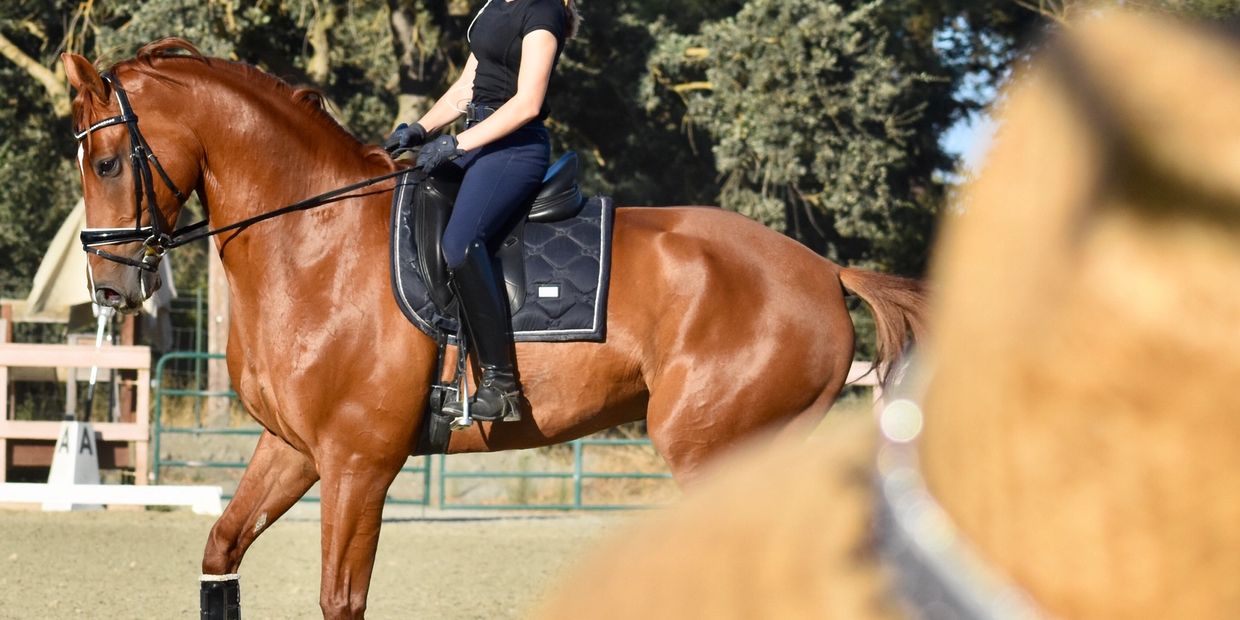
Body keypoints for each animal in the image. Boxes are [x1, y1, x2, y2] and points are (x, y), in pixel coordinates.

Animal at [62, 39, 927, 620]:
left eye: (106, 164)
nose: (111, 287)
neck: (313, 241)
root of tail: (822, 271)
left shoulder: (357, 464)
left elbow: (341, 599)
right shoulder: (293, 450)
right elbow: (223, 549)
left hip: (714, 452)